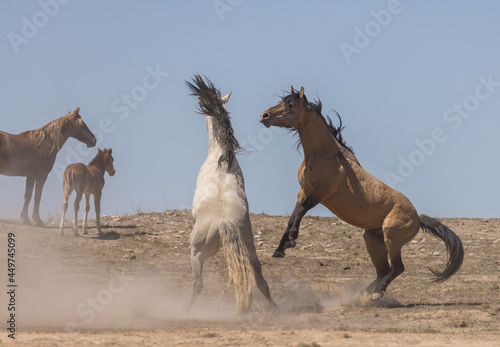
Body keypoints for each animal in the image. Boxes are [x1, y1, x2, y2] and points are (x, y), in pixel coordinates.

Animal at [186, 75, 278, 316]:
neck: (221, 161)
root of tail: (224, 223)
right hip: (250, 248)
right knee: (260, 278)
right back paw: (273, 306)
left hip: (196, 254)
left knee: (198, 284)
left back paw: (184, 309)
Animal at [260, 87, 462, 302]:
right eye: (281, 102)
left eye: (290, 104)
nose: (264, 116)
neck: (324, 155)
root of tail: (418, 218)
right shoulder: (303, 192)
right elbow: (293, 216)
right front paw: (280, 249)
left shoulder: (321, 193)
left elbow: (300, 212)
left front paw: (291, 240)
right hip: (372, 240)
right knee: (383, 271)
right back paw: (363, 293)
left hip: (392, 240)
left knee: (397, 268)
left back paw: (377, 293)